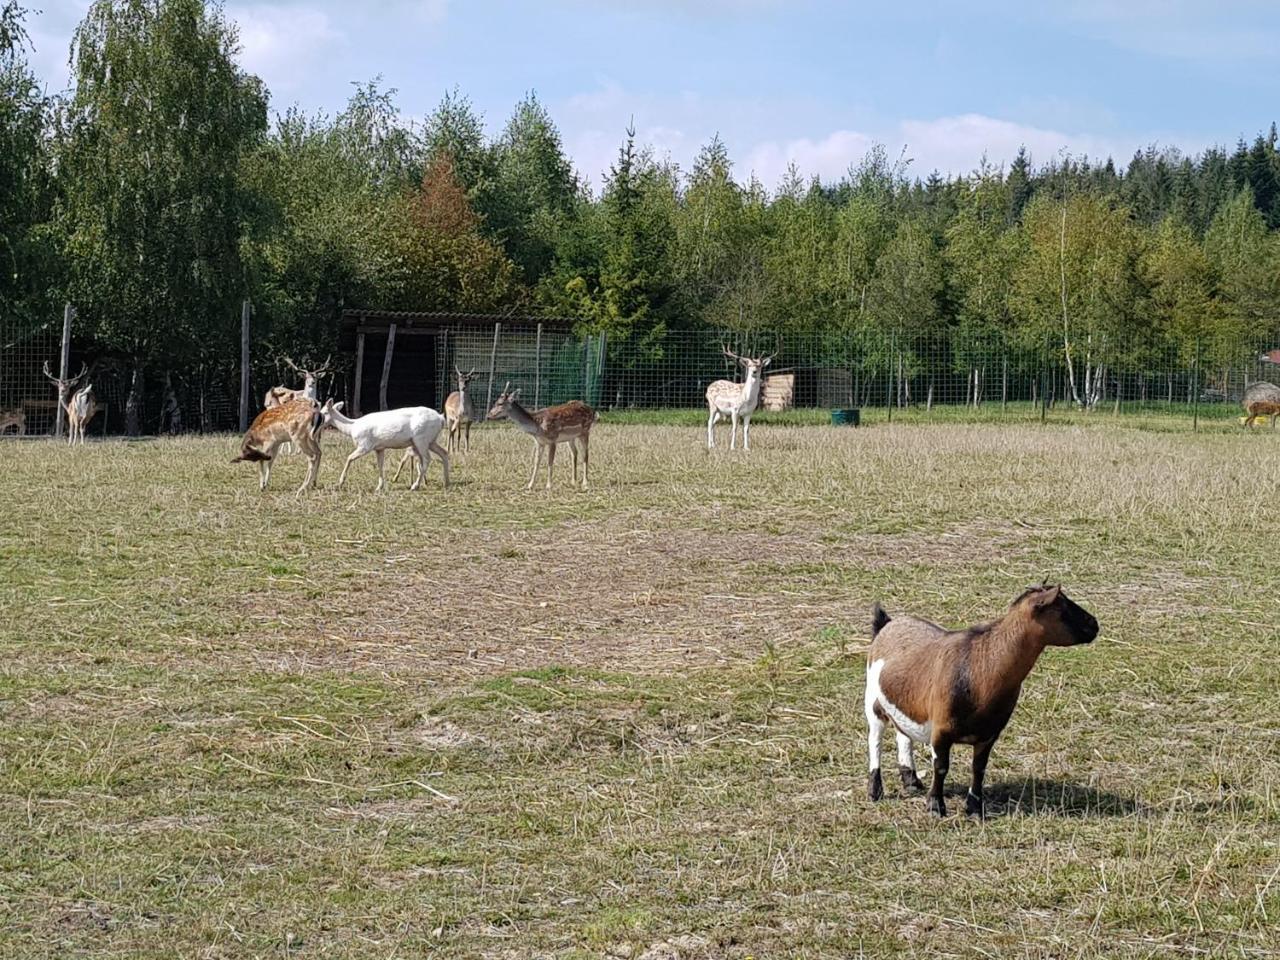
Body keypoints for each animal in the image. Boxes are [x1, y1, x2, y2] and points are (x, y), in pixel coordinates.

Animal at [320, 399, 450, 491]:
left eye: (324, 412)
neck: (352, 428)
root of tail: (441, 419)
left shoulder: (365, 445)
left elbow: (349, 458)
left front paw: (340, 483)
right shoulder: (379, 448)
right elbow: (380, 465)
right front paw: (379, 487)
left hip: (421, 438)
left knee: (428, 459)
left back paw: (415, 486)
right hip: (431, 440)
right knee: (444, 453)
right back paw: (446, 482)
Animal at [860, 586, 1100, 819]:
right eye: (1062, 608)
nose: (1094, 624)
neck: (981, 667)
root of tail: (887, 624)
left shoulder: (989, 733)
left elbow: (979, 768)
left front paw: (975, 808)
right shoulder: (941, 729)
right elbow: (941, 767)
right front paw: (935, 807)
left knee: (903, 735)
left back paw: (911, 781)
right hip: (873, 701)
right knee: (875, 740)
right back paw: (875, 790)